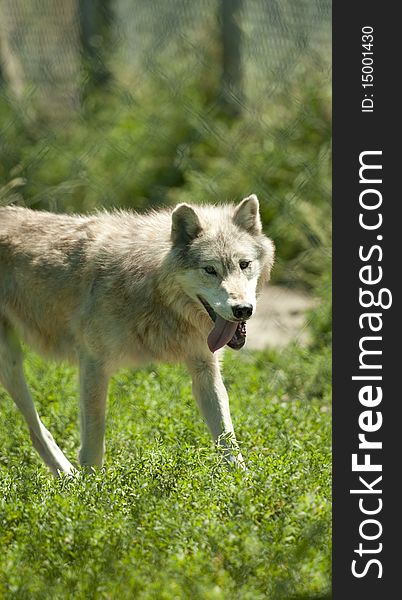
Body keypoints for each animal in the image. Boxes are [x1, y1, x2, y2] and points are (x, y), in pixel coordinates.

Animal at [0, 195, 274, 476]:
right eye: (210, 270)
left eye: (244, 264)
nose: (243, 310)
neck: (151, 287)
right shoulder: (93, 364)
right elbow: (94, 442)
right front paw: (91, 486)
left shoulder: (204, 367)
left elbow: (226, 435)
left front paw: (241, 481)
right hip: (11, 364)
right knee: (35, 427)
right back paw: (69, 476)